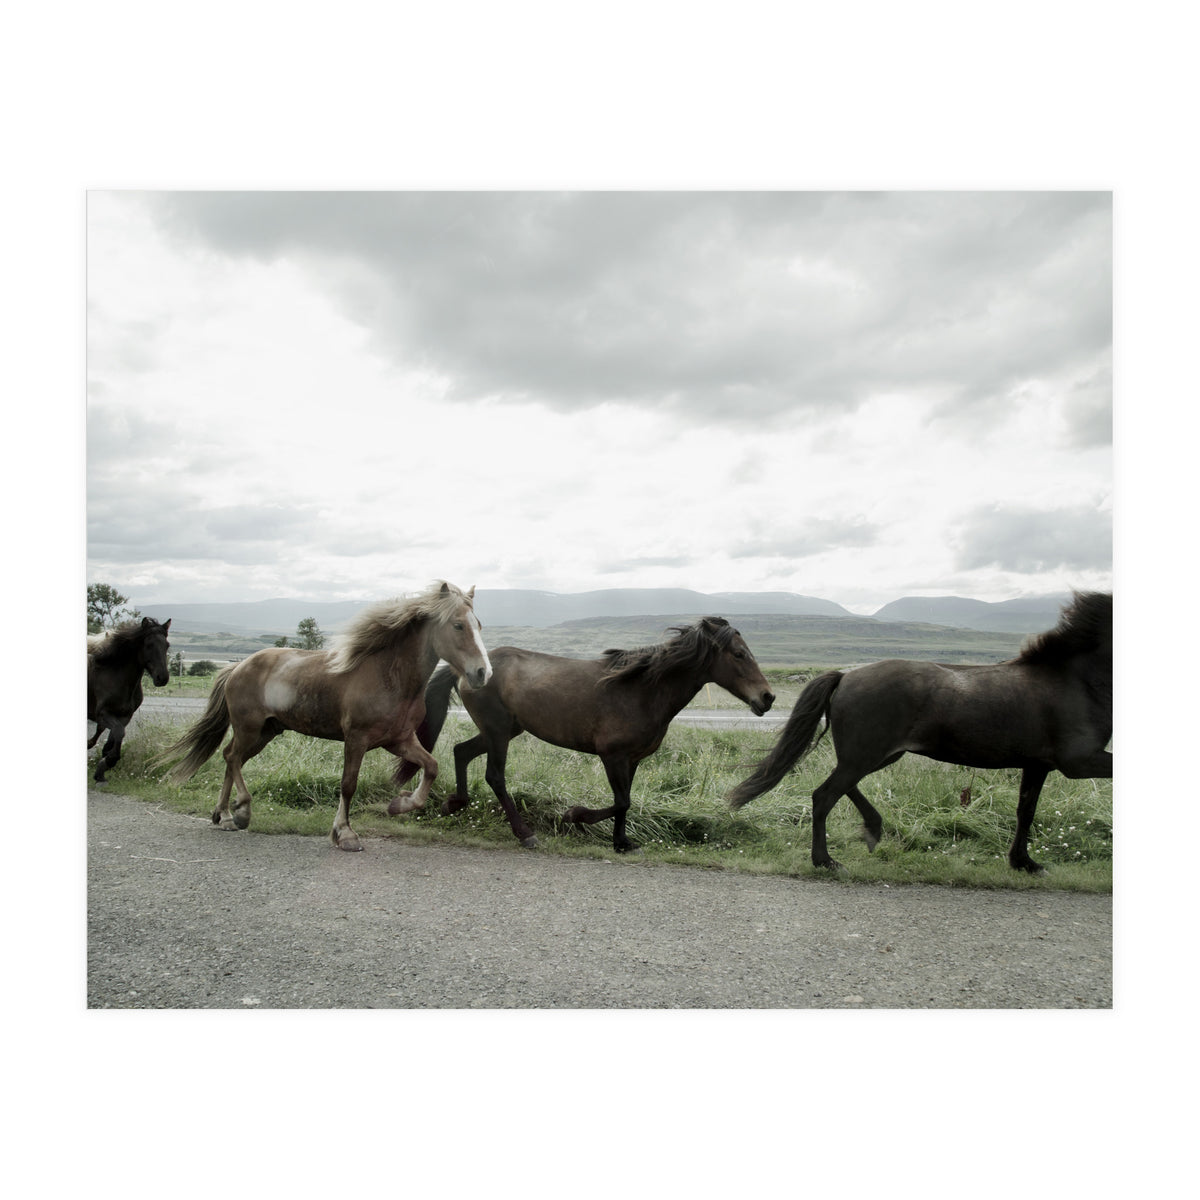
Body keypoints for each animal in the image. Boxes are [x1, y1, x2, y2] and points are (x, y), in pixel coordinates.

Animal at [88, 617, 172, 783]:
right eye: (149, 644)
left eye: (167, 645)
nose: (162, 678)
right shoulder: (103, 713)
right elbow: (118, 732)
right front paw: (108, 761)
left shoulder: (125, 715)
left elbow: (116, 735)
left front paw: (103, 765)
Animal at [156, 582, 491, 852]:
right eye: (458, 625)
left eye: (479, 624)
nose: (482, 673)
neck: (389, 676)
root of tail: (237, 667)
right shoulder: (356, 739)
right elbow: (348, 784)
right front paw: (345, 834)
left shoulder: (399, 740)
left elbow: (431, 767)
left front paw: (399, 804)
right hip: (249, 728)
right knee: (232, 758)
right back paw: (240, 812)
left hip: (265, 732)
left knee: (230, 758)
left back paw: (224, 815)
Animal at [399, 617, 776, 852]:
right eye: (739, 654)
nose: (767, 698)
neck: (641, 689)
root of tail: (470, 669)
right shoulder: (612, 756)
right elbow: (621, 801)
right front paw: (575, 816)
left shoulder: (631, 760)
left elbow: (625, 801)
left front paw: (622, 843)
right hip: (498, 732)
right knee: (495, 776)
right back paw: (524, 834)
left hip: (504, 730)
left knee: (461, 751)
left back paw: (454, 804)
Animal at [727, 591, 1113, 873]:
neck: (1073, 681)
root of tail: (847, 676)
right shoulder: (1079, 761)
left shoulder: (1037, 764)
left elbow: (1025, 811)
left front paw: (1024, 863)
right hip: (866, 755)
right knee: (825, 795)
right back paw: (826, 860)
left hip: (875, 755)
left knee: (841, 787)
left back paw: (872, 829)